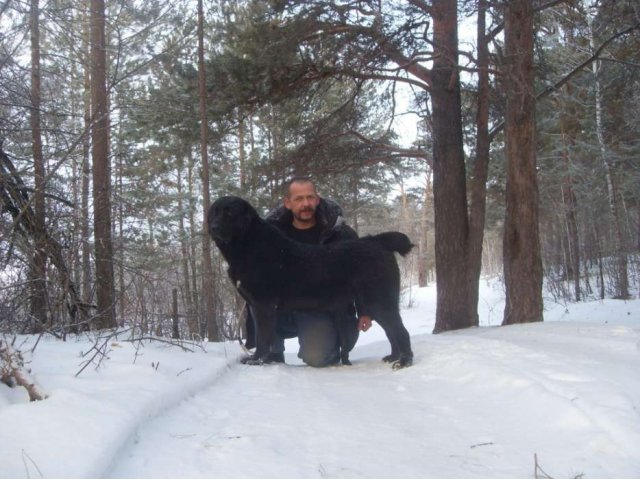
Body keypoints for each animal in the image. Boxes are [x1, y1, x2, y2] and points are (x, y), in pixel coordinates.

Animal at [208, 195, 412, 368]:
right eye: (214, 212)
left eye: (230, 213)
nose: (213, 228)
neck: (248, 244)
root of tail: (377, 241)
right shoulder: (256, 306)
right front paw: (264, 360)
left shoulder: (262, 305)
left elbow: (262, 338)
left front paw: (257, 360)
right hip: (375, 303)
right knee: (391, 331)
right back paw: (393, 357)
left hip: (379, 300)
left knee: (401, 331)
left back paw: (404, 362)